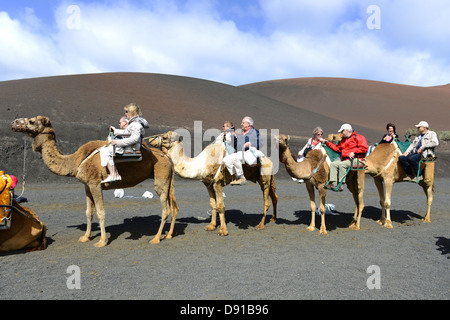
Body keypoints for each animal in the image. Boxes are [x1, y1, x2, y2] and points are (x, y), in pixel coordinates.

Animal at [146, 131, 278, 238]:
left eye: (164, 137)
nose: (150, 139)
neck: (201, 163)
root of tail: (270, 161)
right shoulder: (208, 183)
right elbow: (212, 204)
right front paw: (211, 226)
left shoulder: (218, 183)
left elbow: (220, 206)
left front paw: (223, 231)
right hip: (266, 179)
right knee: (274, 196)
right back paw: (273, 219)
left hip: (264, 178)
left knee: (266, 201)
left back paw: (260, 225)